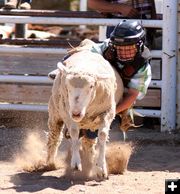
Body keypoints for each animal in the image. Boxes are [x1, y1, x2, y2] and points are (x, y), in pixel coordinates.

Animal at [46, 47, 124, 179]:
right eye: (67, 86)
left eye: (91, 86)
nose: (76, 113)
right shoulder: (67, 113)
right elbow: (74, 133)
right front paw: (76, 163)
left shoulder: (108, 113)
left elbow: (103, 135)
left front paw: (101, 168)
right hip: (55, 113)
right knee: (54, 136)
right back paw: (49, 163)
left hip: (90, 125)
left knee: (89, 143)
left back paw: (91, 162)